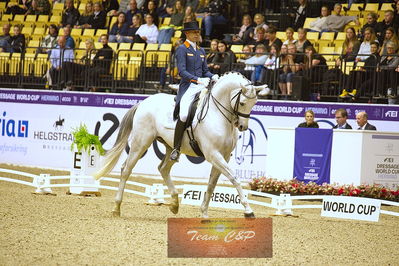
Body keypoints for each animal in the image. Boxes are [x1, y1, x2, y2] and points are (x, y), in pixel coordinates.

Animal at [93, 71, 268, 217]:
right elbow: (234, 178)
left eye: (255, 103)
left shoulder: (224, 156)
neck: (217, 115)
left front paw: (204, 213)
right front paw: (248, 211)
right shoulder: (213, 155)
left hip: (171, 147)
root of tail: (144, 102)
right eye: (243, 103)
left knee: (163, 169)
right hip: (140, 142)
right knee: (126, 170)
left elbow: (212, 184)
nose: (242, 127)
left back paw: (174, 204)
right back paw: (117, 208)